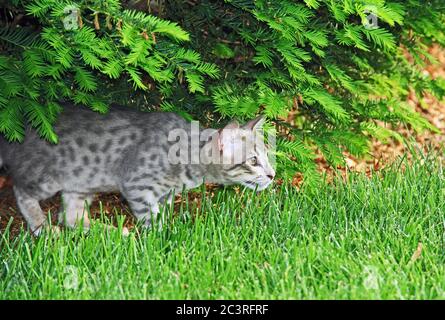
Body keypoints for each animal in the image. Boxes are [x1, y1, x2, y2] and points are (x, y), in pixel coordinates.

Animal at [0, 104, 274, 234]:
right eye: (253, 161)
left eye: (267, 156)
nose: (272, 175)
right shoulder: (137, 186)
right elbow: (150, 217)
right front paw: (160, 238)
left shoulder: (164, 194)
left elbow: (162, 212)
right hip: (47, 178)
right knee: (22, 192)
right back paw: (42, 228)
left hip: (82, 182)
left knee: (70, 217)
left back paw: (110, 232)